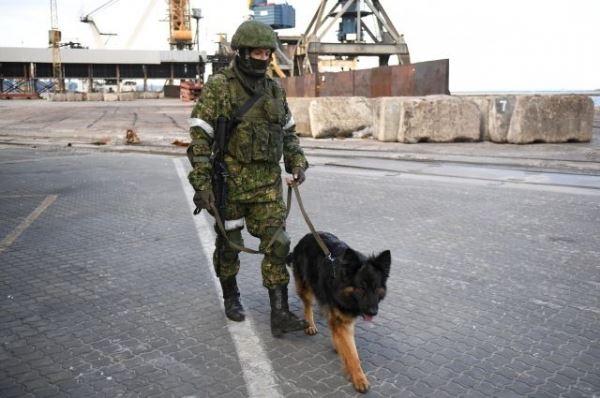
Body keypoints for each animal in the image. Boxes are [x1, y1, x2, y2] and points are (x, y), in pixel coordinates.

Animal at [288, 232, 392, 394]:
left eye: (376, 288)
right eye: (361, 288)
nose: (373, 312)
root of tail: (307, 236)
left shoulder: (344, 318)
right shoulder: (342, 320)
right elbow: (352, 354)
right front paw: (359, 378)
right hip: (307, 287)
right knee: (307, 306)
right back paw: (310, 325)